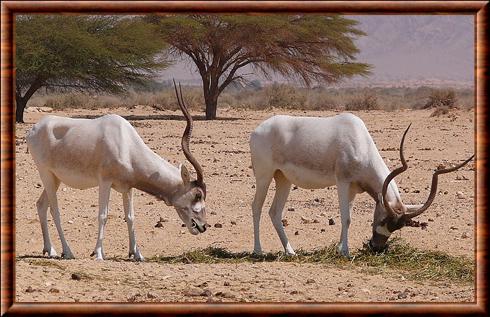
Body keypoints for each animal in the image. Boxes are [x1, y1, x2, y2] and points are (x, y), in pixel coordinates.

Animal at [26, 81, 207, 260]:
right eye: (197, 195)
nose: (203, 226)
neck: (126, 143)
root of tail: (33, 130)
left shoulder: (128, 187)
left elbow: (130, 217)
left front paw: (136, 254)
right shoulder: (105, 182)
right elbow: (103, 215)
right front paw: (99, 253)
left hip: (55, 178)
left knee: (41, 205)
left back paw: (50, 249)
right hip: (46, 173)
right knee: (54, 210)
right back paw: (67, 251)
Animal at [251, 113, 472, 256]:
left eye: (397, 228)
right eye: (382, 221)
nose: (376, 247)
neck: (360, 142)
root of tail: (257, 130)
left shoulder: (354, 189)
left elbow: (347, 216)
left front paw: (339, 249)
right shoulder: (342, 182)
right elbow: (346, 218)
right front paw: (346, 252)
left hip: (283, 179)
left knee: (274, 212)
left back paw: (290, 252)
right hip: (264, 176)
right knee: (257, 207)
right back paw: (257, 250)